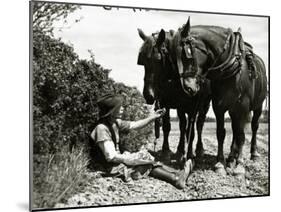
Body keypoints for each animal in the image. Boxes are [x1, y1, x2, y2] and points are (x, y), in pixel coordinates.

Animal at [137, 28, 211, 164]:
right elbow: (167, 126)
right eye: (142, 61)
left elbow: (190, 130)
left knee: (199, 125)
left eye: (158, 59)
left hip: (205, 104)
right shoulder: (167, 103)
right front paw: (167, 152)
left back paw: (198, 150)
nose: (148, 95)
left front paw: (188, 153)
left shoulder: (191, 106)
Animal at [167, 17, 268, 175]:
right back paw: (231, 157)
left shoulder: (243, 107)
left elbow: (241, 136)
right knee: (234, 129)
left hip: (257, 106)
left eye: (186, 54)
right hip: (233, 110)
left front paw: (240, 166)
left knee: (253, 127)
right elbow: (221, 133)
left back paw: (253, 154)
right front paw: (220, 163)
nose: (188, 87)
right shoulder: (219, 106)